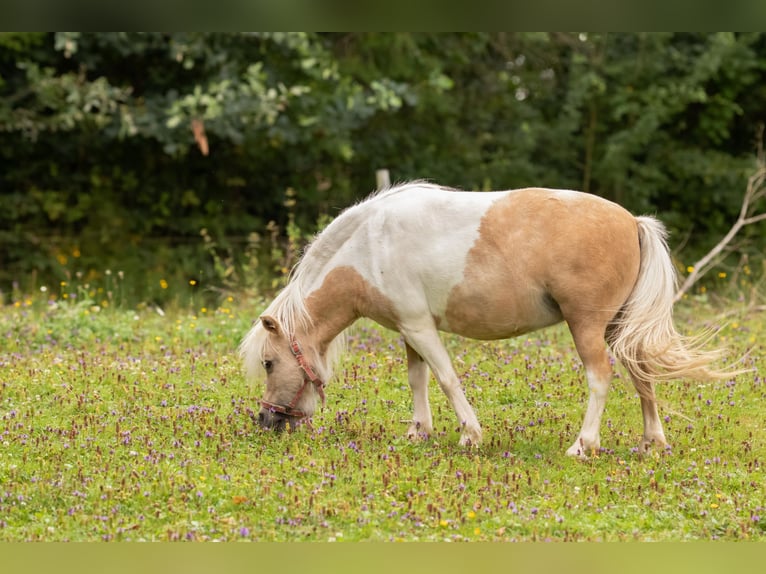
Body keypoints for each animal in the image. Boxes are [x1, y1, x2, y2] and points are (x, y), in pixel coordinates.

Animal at [242, 184, 732, 460]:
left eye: (269, 363)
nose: (265, 422)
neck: (369, 247)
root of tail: (632, 221)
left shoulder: (420, 327)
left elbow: (446, 379)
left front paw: (470, 436)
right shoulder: (409, 330)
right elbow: (417, 378)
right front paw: (419, 432)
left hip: (588, 327)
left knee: (601, 376)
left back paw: (583, 445)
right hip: (619, 328)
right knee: (641, 375)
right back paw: (653, 443)